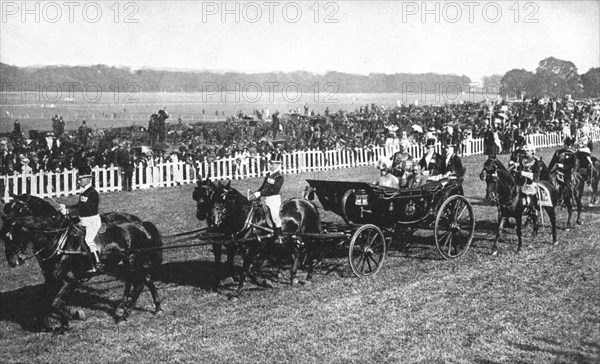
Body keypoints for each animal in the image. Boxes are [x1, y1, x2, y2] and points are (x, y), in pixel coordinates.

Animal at [0, 195, 164, 332]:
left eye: (15, 230)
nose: (12, 261)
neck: (59, 240)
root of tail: (141, 225)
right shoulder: (52, 280)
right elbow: (47, 302)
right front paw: (53, 322)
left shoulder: (70, 280)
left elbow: (56, 304)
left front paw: (72, 317)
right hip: (127, 265)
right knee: (145, 281)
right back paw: (155, 308)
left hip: (133, 263)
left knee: (139, 284)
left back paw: (123, 316)